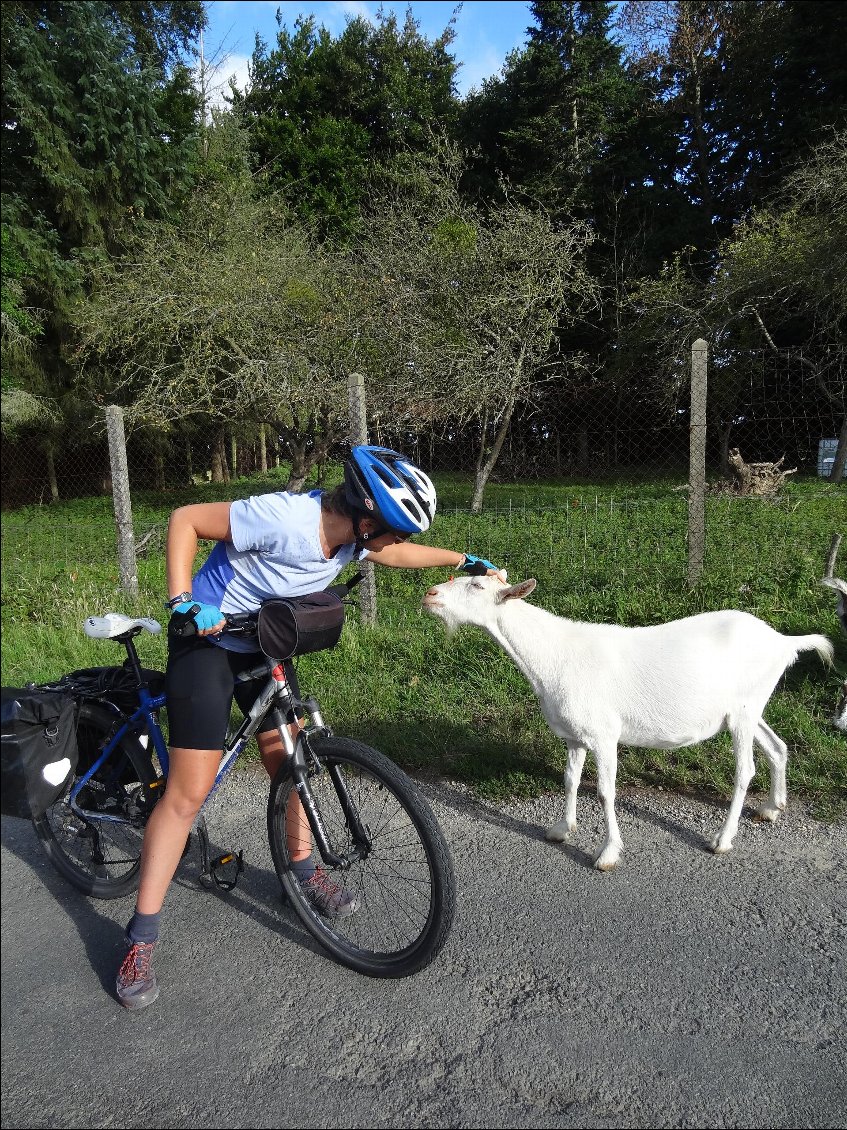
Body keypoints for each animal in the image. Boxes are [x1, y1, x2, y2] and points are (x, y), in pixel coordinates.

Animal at [424, 578, 835, 867]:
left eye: (476, 585)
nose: (430, 594)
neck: (554, 655)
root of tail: (783, 642)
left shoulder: (604, 734)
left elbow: (606, 792)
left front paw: (607, 853)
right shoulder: (574, 736)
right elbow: (570, 779)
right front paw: (561, 830)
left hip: (744, 711)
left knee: (745, 770)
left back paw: (722, 839)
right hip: (748, 709)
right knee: (777, 747)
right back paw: (772, 807)